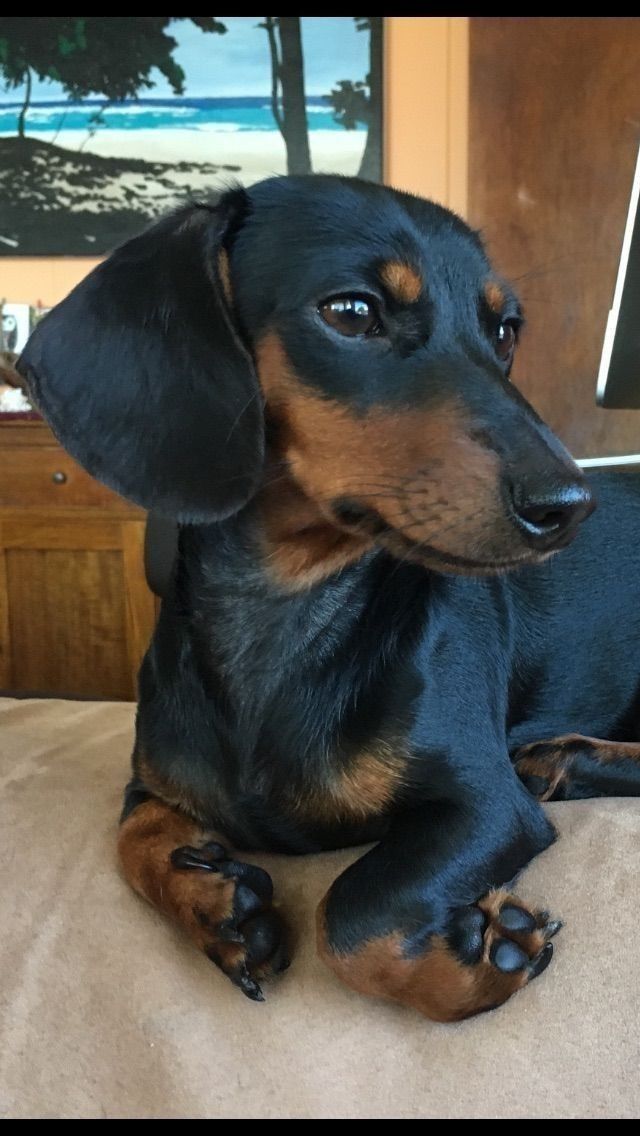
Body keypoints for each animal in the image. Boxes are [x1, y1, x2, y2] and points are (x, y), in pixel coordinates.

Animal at [18, 174, 640, 1022]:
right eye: (351, 311)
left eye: (505, 330)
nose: (570, 505)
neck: (286, 614)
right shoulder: (147, 782)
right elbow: (131, 837)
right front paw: (217, 903)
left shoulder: (487, 805)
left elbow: (351, 918)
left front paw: (489, 951)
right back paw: (565, 761)